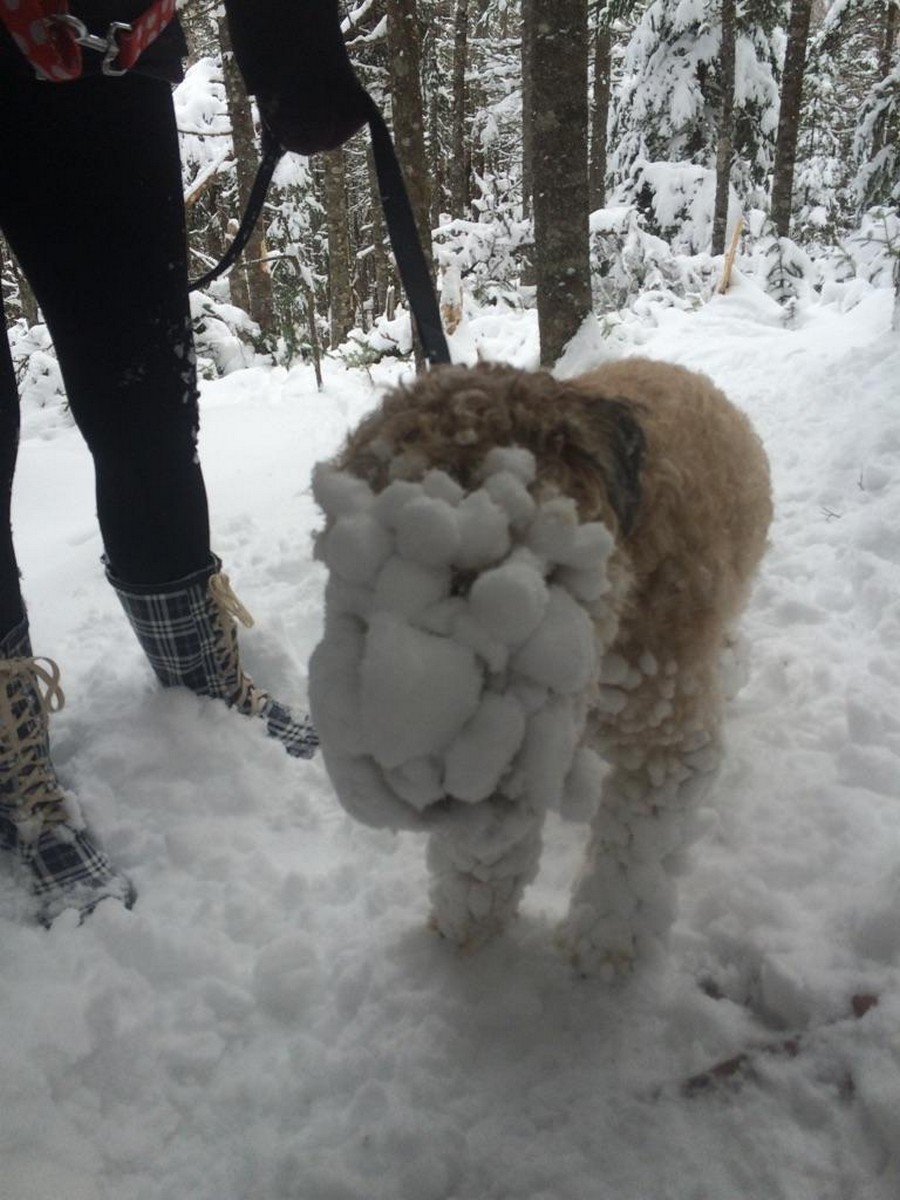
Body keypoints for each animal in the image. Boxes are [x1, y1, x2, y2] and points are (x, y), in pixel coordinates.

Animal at [312, 355, 777, 974]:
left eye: (495, 577)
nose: (440, 789)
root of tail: (675, 368)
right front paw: (469, 920)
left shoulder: (670, 744)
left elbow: (634, 851)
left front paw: (602, 943)